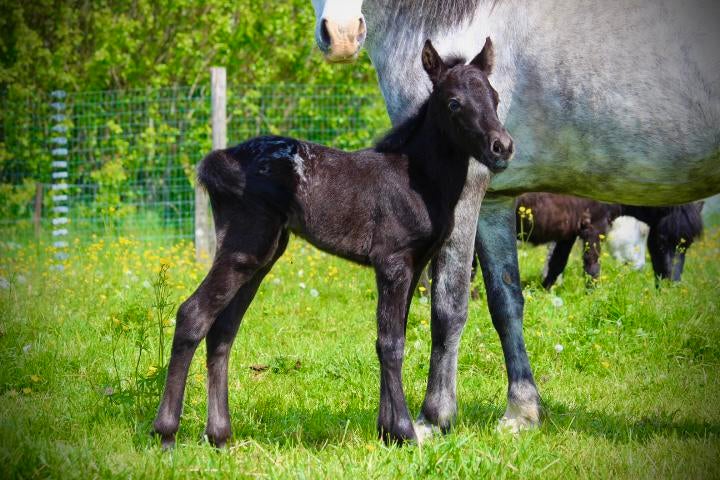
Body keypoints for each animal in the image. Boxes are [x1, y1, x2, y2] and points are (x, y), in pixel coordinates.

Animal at [153, 39, 510, 447]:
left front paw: (386, 430)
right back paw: (166, 433)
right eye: (454, 103)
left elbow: (392, 337)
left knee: (222, 329)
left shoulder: (415, 265)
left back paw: (219, 435)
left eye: (495, 98)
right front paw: (403, 431)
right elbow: (391, 343)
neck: (416, 177)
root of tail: (218, 160)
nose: (502, 147)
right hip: (246, 247)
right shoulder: (392, 261)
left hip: (263, 254)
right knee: (193, 314)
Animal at [310, 0, 720, 434]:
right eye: (456, 103)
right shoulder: (495, 199)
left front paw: (434, 418)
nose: (342, 34)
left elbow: (448, 306)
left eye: (491, 97)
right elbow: (506, 302)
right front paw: (522, 411)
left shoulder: (467, 191)